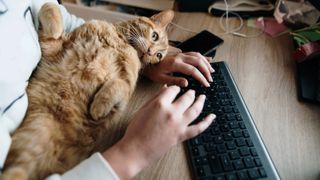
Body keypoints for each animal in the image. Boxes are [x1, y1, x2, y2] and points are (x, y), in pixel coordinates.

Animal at [1, 3, 174, 180]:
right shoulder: (53, 48)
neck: (118, 40)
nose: (150, 52)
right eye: (154, 36)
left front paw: (99, 107)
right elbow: (50, 6)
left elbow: (118, 85)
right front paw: (56, 28)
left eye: (159, 56)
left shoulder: (124, 90)